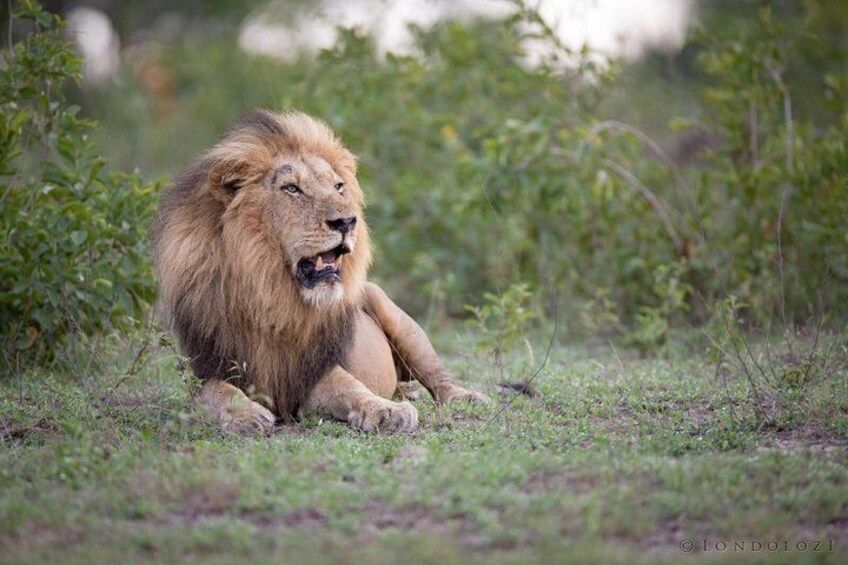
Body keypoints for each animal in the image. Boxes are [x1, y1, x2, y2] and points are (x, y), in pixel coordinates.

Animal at [151, 110, 486, 434]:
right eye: (292, 188)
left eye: (338, 187)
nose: (347, 222)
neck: (270, 297)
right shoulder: (209, 367)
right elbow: (219, 393)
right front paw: (246, 415)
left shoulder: (310, 370)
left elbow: (351, 388)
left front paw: (387, 412)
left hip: (400, 320)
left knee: (438, 376)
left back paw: (465, 397)